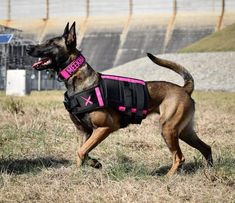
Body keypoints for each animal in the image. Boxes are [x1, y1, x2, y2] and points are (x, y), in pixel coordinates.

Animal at [26, 21, 213, 176]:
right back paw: (210, 171)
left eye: (50, 43)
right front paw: (85, 169)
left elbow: (81, 151)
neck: (77, 78)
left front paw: (86, 168)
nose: (28, 48)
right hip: (184, 131)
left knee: (179, 157)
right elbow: (83, 152)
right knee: (206, 148)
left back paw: (168, 178)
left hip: (168, 129)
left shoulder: (104, 128)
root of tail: (184, 89)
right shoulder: (84, 131)